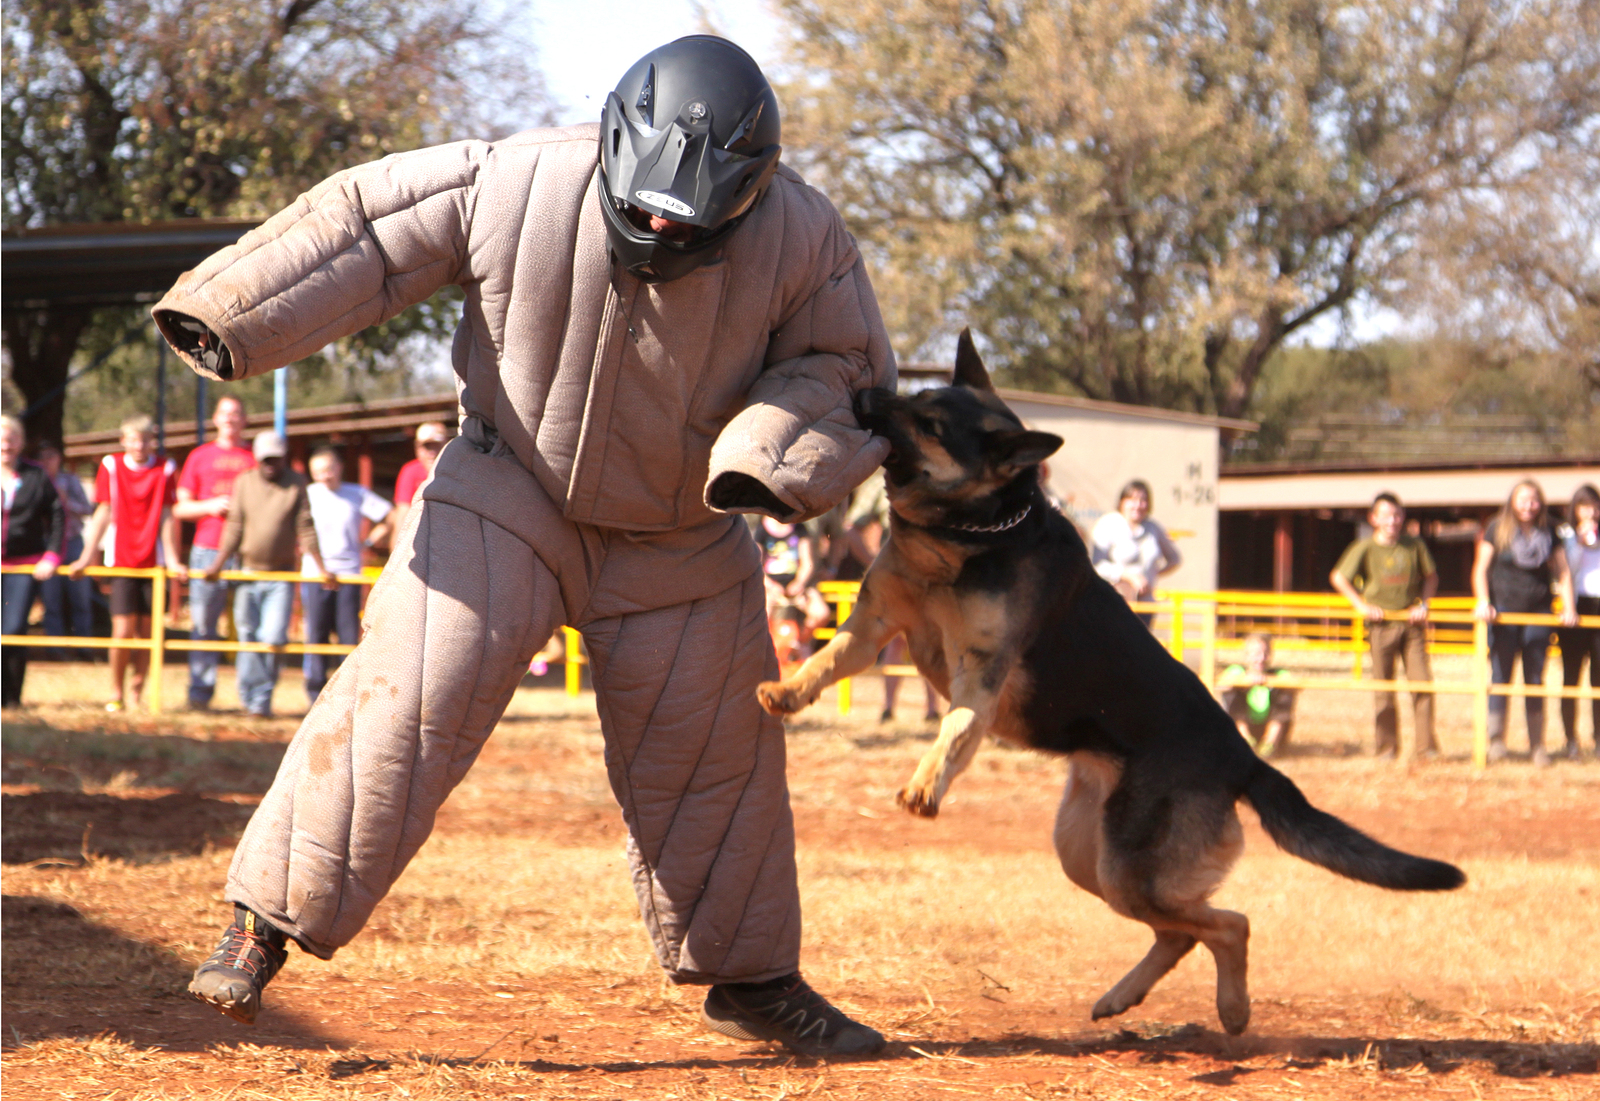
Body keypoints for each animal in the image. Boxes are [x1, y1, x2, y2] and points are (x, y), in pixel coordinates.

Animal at [755, 331, 1465, 1036]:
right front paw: (785, 692)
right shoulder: (875, 624)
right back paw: (1123, 998)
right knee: (1182, 931)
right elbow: (826, 662)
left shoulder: (981, 670)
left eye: (930, 424)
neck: (971, 533)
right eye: (916, 396)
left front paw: (926, 785)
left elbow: (953, 731)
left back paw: (1232, 1010)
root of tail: (1245, 757)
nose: (866, 398)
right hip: (1088, 857)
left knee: (1230, 924)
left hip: (1126, 868)